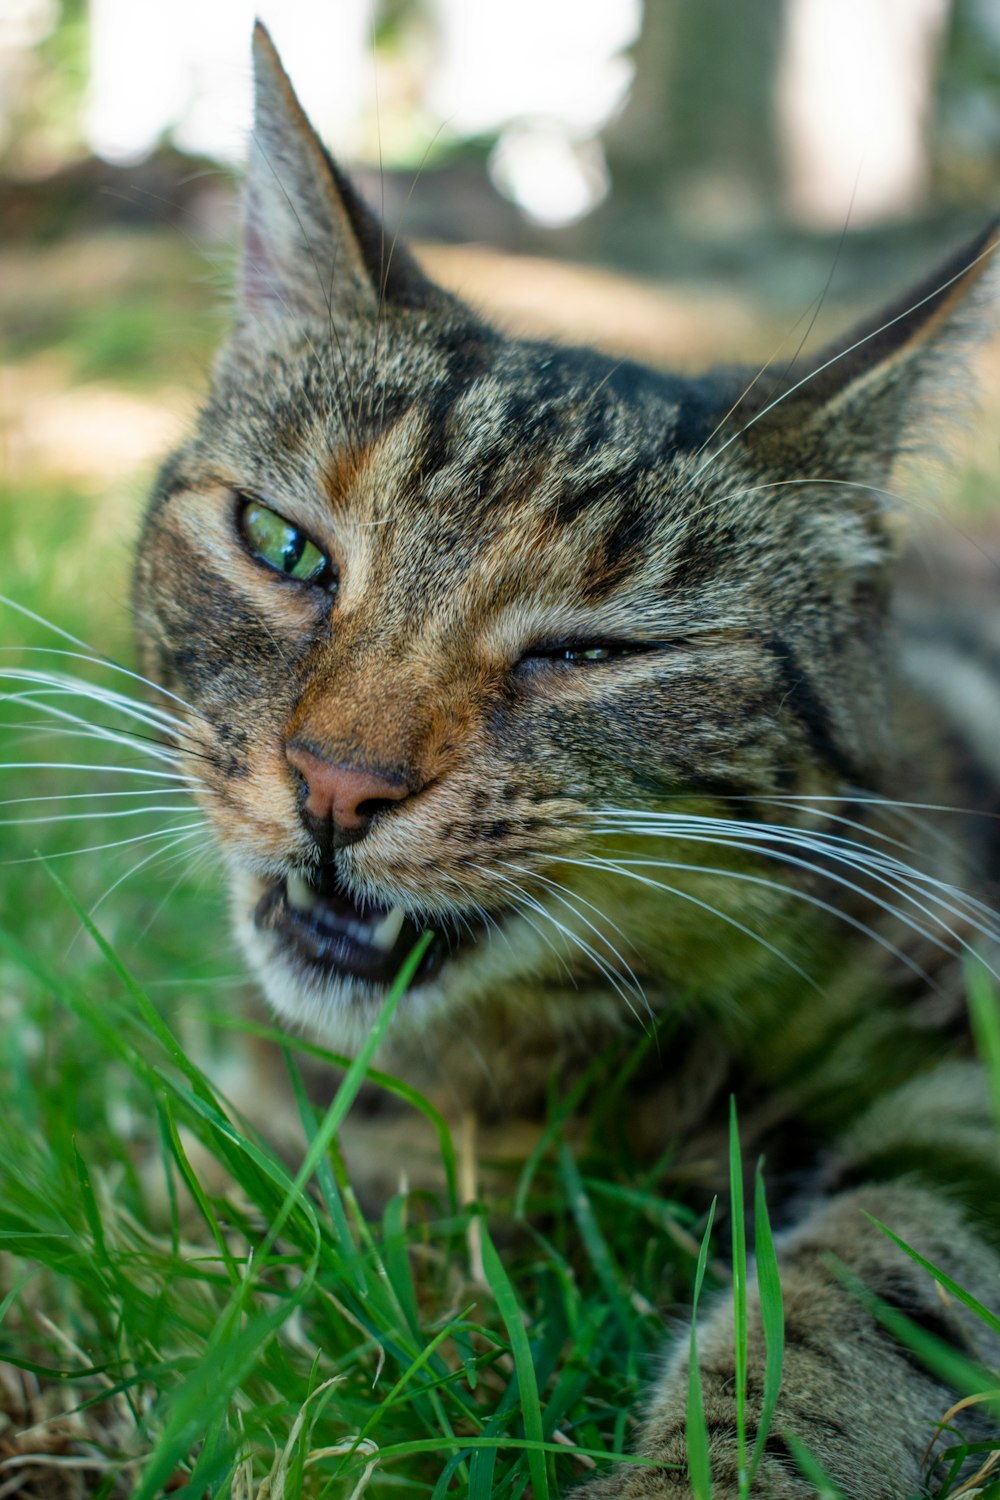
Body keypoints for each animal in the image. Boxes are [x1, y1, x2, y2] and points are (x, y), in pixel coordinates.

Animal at [131, 26, 1000, 1500]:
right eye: (284, 545)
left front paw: (709, 1470)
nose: (336, 783)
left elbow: (859, 1289)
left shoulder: (970, 1084)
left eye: (590, 653)